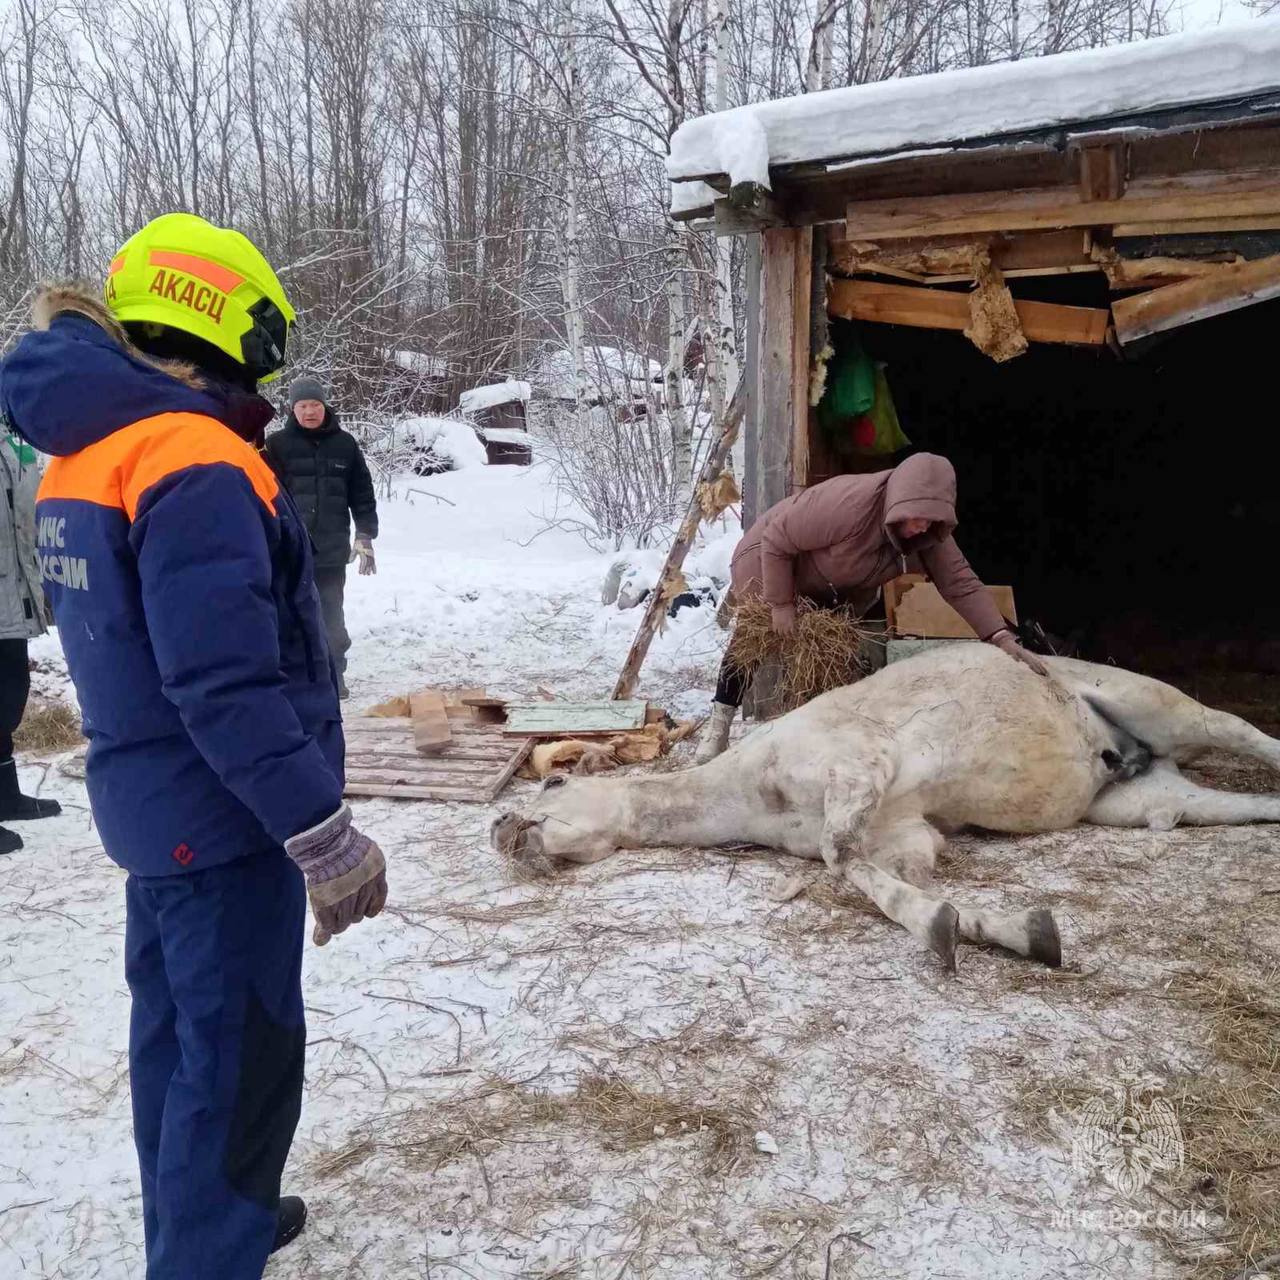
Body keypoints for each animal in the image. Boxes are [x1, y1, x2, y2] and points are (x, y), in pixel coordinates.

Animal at [491, 645, 1280, 972]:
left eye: (554, 787)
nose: (502, 830)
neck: (754, 791)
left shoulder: (860, 765)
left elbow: (841, 860)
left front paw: (955, 928)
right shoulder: (904, 835)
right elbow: (891, 878)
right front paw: (999, 930)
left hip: (1165, 708)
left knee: (1247, 734)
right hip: (1144, 798)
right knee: (1246, 804)